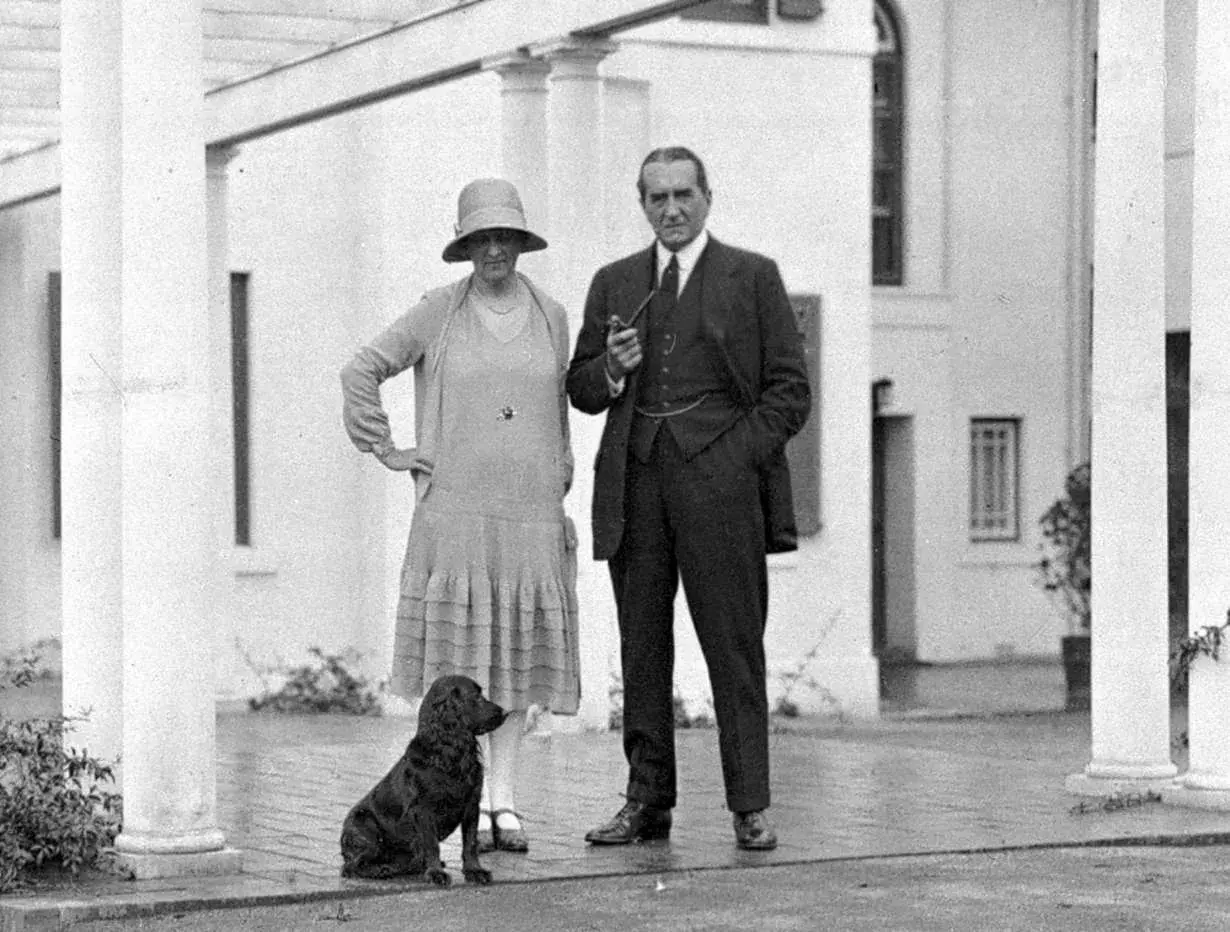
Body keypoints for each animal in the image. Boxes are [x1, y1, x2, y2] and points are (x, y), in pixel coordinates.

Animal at [339, 678, 506, 885]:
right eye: (476, 697)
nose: (505, 712)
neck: (446, 755)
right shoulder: (423, 809)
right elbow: (432, 844)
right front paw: (435, 873)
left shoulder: (472, 804)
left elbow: (470, 842)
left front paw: (474, 871)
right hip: (365, 826)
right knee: (350, 867)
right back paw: (382, 870)